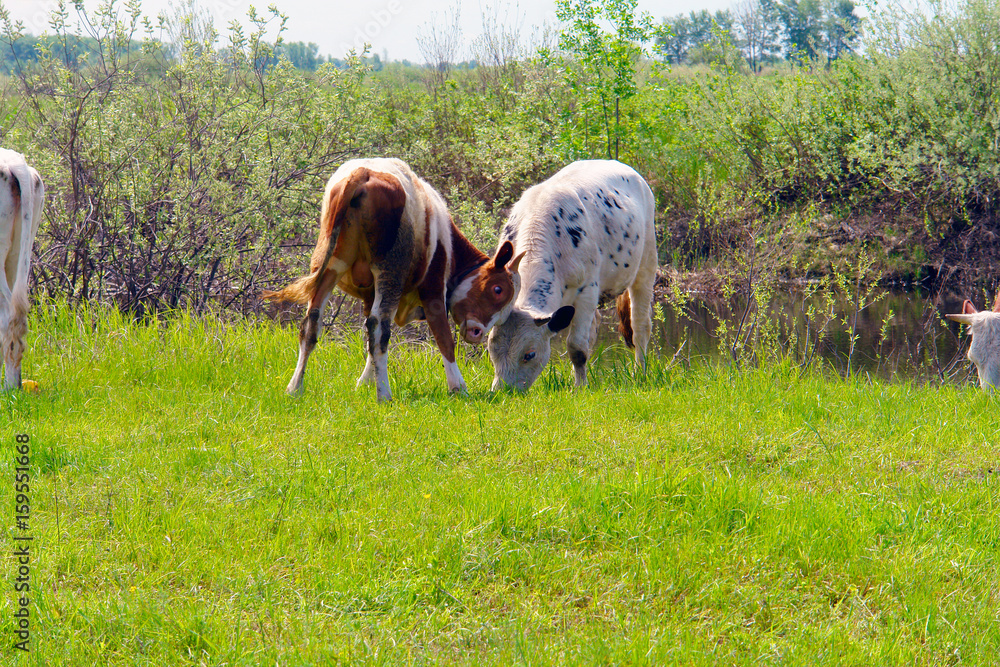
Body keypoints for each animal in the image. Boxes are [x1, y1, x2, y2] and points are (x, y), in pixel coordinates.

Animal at [264, 158, 523, 402]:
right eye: (498, 289)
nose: (478, 333)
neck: (448, 241)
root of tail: (363, 172)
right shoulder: (433, 289)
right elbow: (444, 337)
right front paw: (459, 388)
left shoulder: (369, 293)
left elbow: (367, 336)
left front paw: (364, 383)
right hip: (390, 271)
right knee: (380, 326)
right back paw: (385, 396)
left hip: (328, 263)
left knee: (313, 322)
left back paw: (294, 389)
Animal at [487, 160, 657, 392]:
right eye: (491, 350)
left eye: (529, 354)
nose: (501, 392)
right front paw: (580, 381)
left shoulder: (587, 292)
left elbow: (576, 347)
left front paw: (579, 388)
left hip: (647, 263)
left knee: (640, 324)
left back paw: (640, 372)